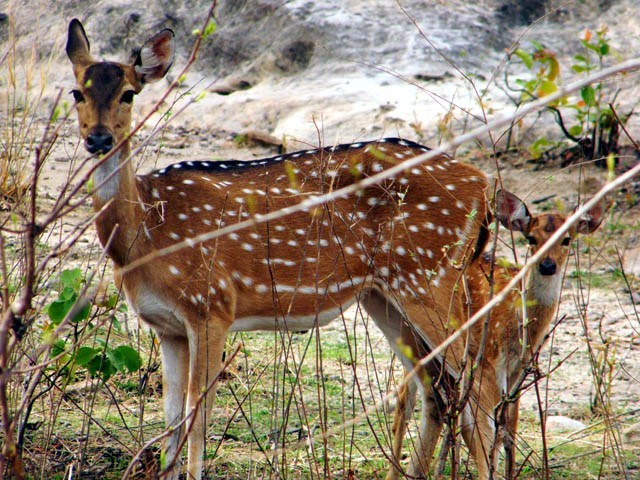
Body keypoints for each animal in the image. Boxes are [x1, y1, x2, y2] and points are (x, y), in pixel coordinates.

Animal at [66, 18, 490, 480]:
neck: (144, 235)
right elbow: (173, 418)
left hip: (431, 276)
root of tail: (483, 185)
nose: (99, 138)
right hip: (384, 295)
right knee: (440, 388)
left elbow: (198, 415)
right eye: (76, 92)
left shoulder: (212, 305)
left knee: (478, 386)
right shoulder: (167, 325)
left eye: (129, 93)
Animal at [384, 190, 604, 480]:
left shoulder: (518, 369)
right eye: (531, 238)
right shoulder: (488, 359)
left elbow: (508, 427)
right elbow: (487, 429)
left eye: (567, 239)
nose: (547, 265)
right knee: (404, 402)